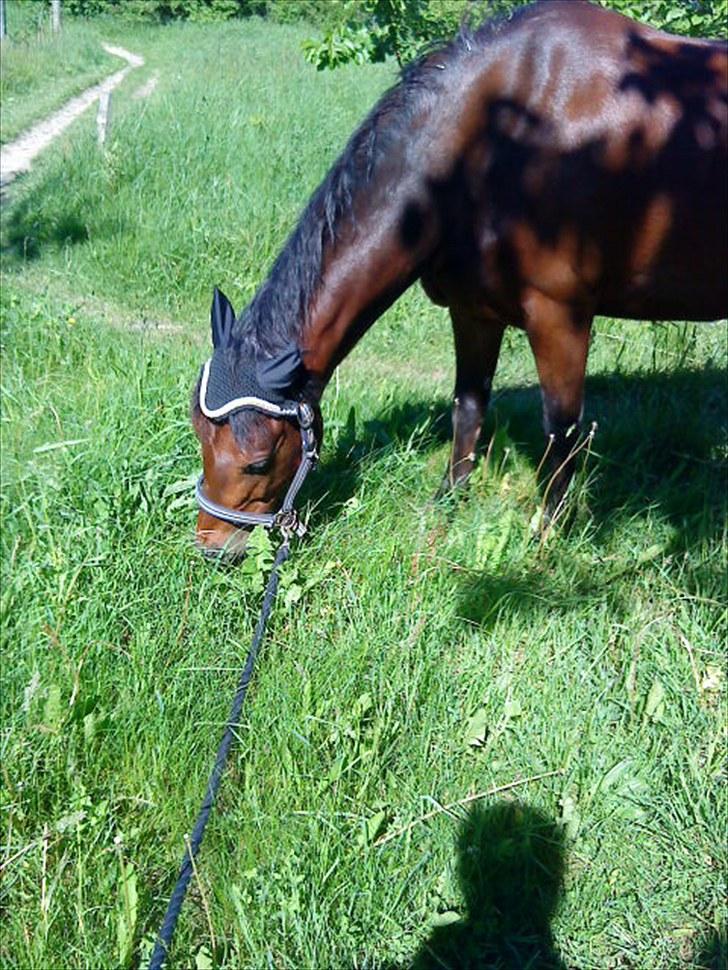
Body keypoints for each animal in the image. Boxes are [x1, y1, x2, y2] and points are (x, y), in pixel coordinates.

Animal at [191, 0, 727, 557]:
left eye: (259, 461)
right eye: (199, 436)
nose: (213, 546)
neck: (503, 131)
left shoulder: (560, 315)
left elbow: (560, 428)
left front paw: (548, 533)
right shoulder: (473, 312)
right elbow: (468, 405)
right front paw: (448, 498)